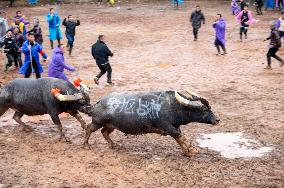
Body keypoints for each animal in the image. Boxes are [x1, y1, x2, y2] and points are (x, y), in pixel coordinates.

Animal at [83, 90, 219, 156]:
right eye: (204, 109)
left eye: (210, 108)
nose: (217, 120)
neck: (172, 106)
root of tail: (98, 103)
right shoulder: (169, 127)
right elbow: (181, 137)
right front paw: (192, 150)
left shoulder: (175, 127)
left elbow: (180, 139)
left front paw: (186, 152)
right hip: (97, 122)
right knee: (89, 128)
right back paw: (85, 145)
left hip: (111, 125)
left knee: (104, 132)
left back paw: (112, 145)